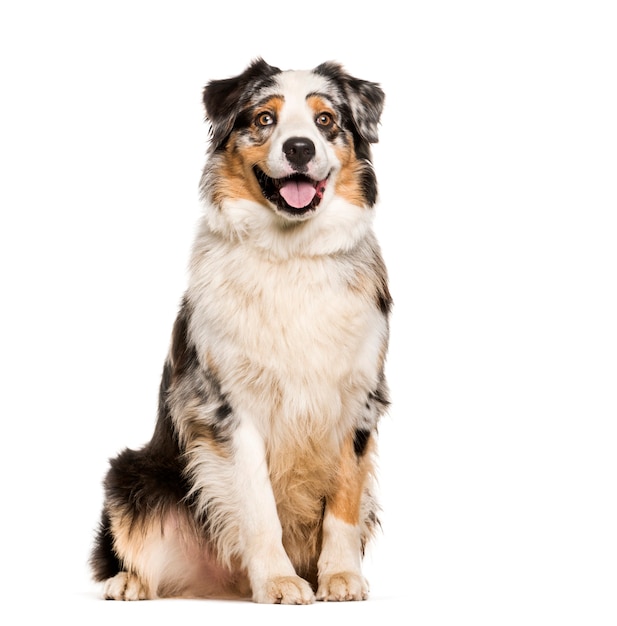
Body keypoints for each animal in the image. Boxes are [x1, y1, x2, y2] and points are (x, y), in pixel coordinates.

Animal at [90, 59, 390, 604]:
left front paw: (340, 576)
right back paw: (128, 582)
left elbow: (344, 501)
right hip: (131, 474)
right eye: (265, 119)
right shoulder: (227, 406)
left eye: (327, 121)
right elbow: (257, 505)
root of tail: (222, 583)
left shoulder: (358, 399)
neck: (292, 255)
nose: (299, 148)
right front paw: (278, 581)